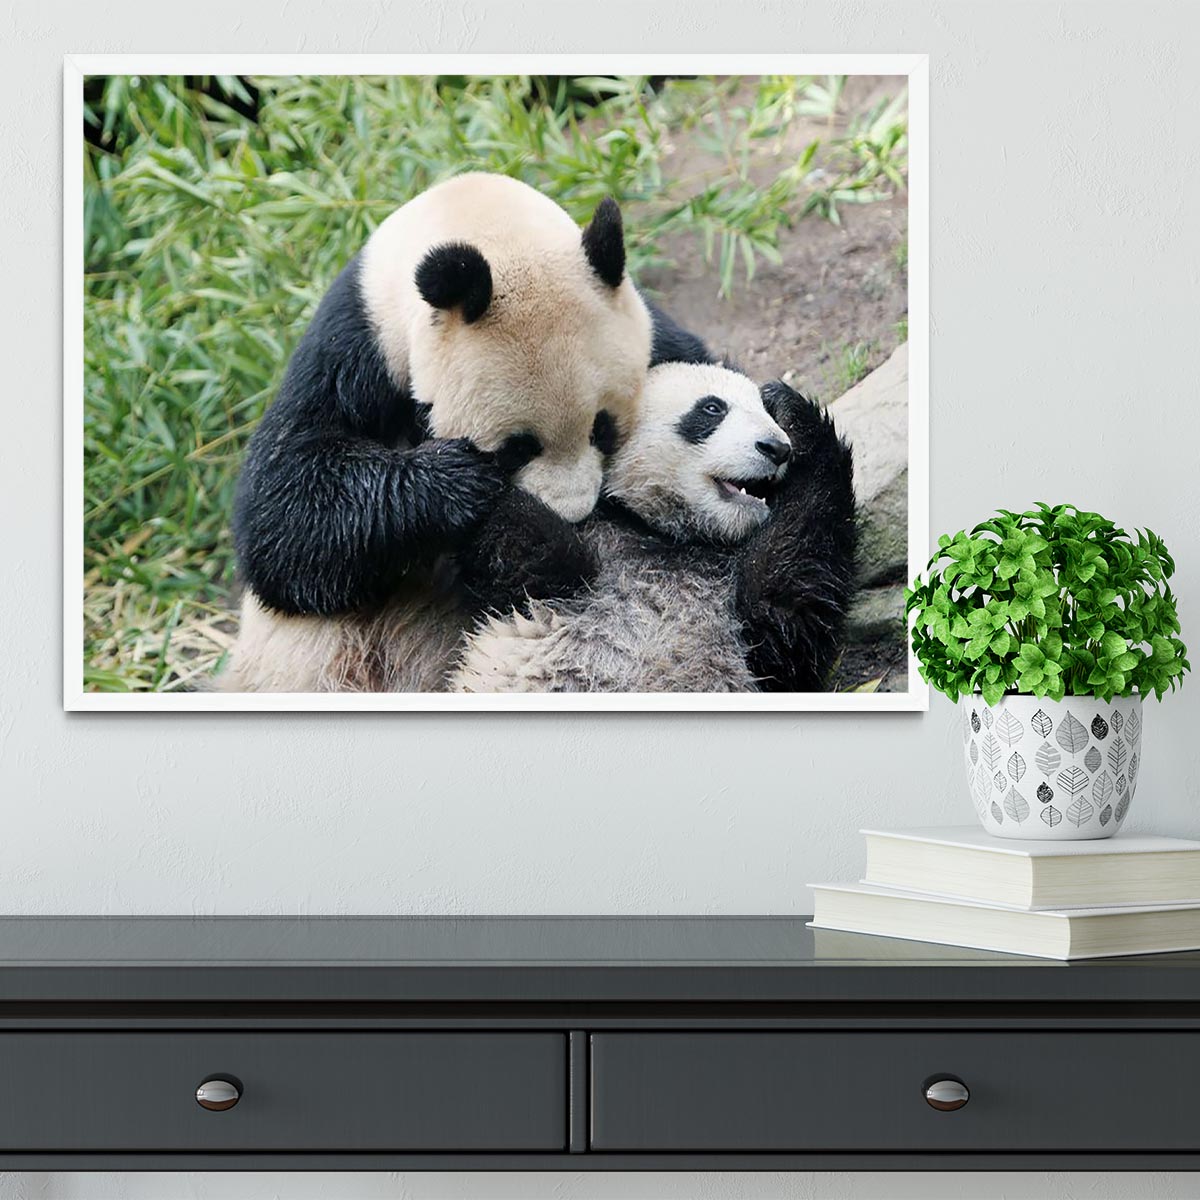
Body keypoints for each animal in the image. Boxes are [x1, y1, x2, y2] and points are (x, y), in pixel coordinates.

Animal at [220, 172, 656, 691]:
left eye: (602, 429)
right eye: (516, 449)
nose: (573, 514)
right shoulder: (355, 345)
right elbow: (283, 509)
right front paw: (458, 483)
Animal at [449, 360, 858, 693]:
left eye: (764, 414)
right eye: (712, 408)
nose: (776, 447)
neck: (672, 536)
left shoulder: (749, 628)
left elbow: (789, 603)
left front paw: (793, 411)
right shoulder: (596, 549)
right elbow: (527, 548)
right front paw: (462, 478)